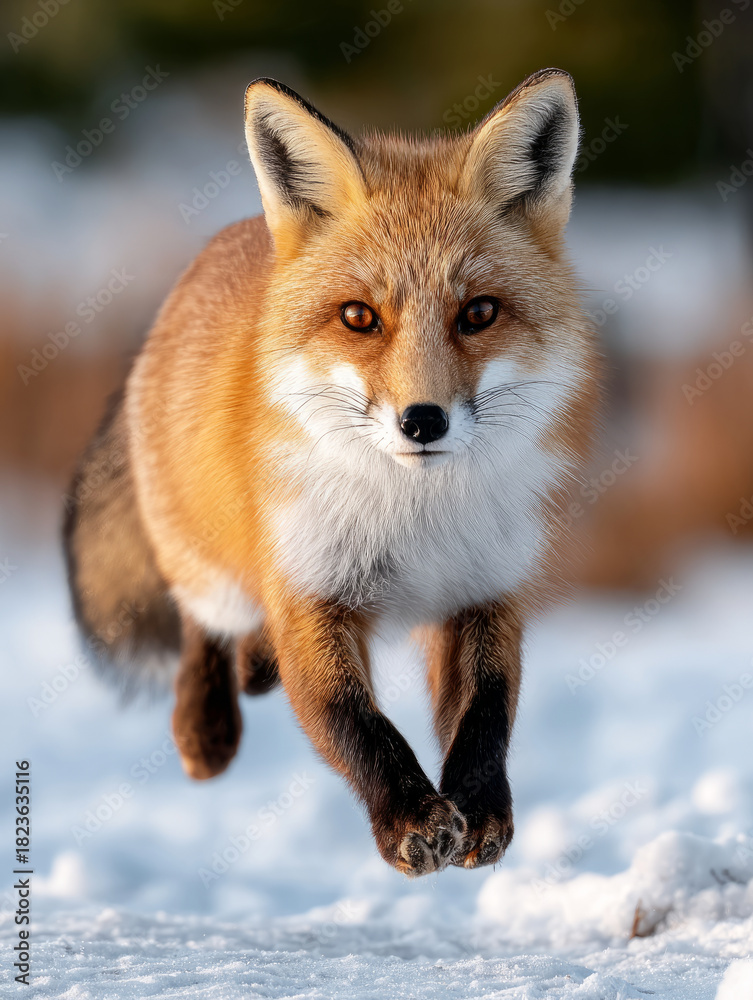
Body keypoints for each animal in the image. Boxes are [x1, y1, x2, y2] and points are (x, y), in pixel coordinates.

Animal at [64, 69, 599, 876]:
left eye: (478, 313)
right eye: (358, 317)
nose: (422, 421)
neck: (414, 519)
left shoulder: (483, 591)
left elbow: (488, 709)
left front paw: (480, 809)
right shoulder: (310, 590)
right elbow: (351, 720)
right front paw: (409, 820)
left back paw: (253, 671)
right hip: (213, 568)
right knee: (204, 624)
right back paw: (205, 728)